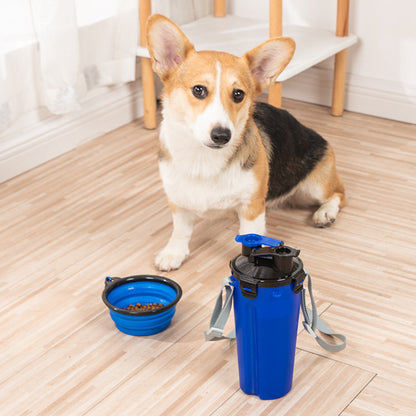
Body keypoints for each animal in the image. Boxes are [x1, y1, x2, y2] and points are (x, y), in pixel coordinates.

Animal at [146, 14, 344, 272]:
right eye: (199, 90)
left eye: (238, 94)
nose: (222, 135)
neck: (202, 160)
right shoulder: (178, 201)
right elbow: (180, 230)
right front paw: (173, 253)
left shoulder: (252, 209)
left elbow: (252, 241)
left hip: (315, 186)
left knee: (339, 193)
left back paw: (325, 213)